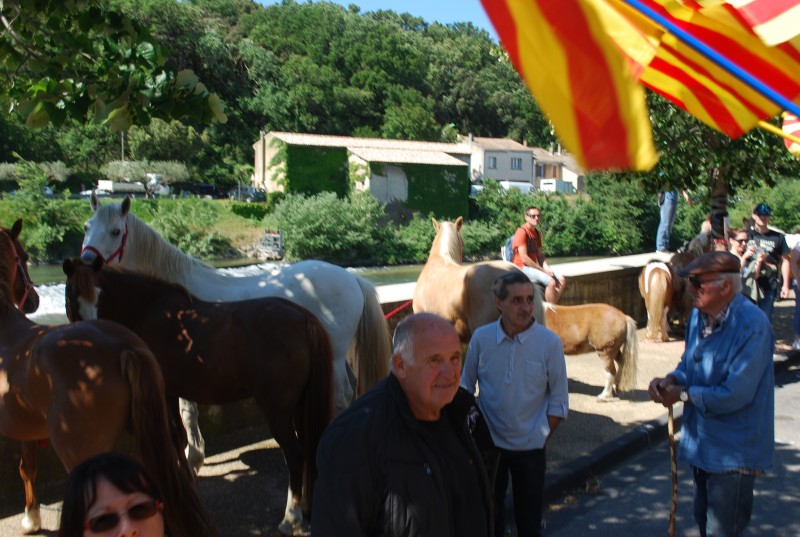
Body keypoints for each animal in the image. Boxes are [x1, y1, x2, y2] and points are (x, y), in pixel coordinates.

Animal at [0, 219, 216, 536]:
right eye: (72, 299)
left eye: (24, 255)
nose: (33, 301)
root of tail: (123, 349)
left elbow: (26, 467)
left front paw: (31, 518)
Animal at [63, 256, 334, 536]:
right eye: (72, 295)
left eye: (100, 295)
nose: (89, 326)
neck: (147, 310)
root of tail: (303, 318)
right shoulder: (172, 393)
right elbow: (179, 435)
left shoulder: (165, 393)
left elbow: (173, 436)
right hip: (300, 407)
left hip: (277, 412)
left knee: (295, 456)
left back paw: (291, 518)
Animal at [83, 195, 392, 476]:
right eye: (87, 226)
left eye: (116, 231)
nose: (87, 261)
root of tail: (352, 278)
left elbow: (188, 412)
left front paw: (193, 459)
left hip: (335, 357)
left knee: (341, 395)